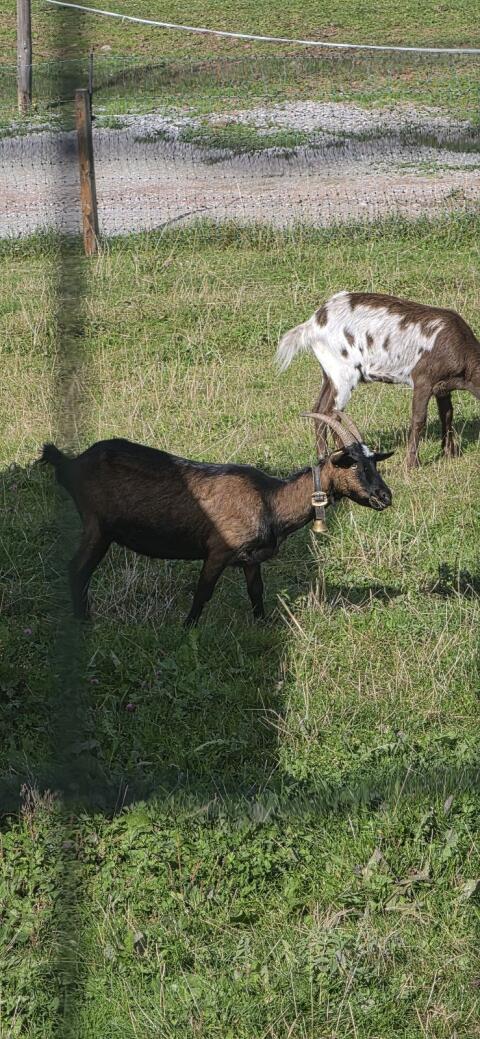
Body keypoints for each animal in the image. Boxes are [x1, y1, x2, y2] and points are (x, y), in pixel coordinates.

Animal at [39, 413, 392, 625]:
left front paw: (263, 625)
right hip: (97, 527)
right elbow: (203, 592)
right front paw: (187, 629)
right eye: (353, 464)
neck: (269, 500)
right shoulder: (218, 551)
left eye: (375, 462)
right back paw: (83, 622)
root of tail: (70, 464)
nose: (385, 496)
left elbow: (256, 591)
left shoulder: (251, 559)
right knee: (77, 570)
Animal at [277, 290, 480, 467]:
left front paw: (450, 454)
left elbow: (447, 414)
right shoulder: (423, 379)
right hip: (343, 372)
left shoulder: (443, 386)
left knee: (319, 409)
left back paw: (322, 455)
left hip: (329, 373)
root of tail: (312, 324)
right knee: (332, 412)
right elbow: (419, 419)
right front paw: (412, 464)